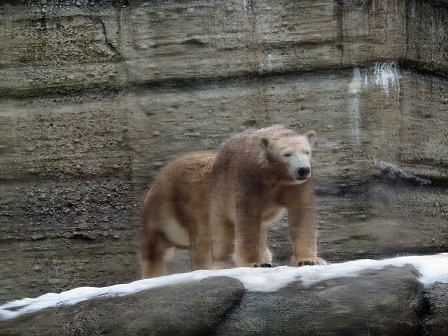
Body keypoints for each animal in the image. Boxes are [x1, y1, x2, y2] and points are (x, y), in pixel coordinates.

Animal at [138, 126, 324, 278]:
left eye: (306, 152)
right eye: (287, 154)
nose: (303, 170)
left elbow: (301, 214)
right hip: (190, 200)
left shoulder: (298, 186)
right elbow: (248, 220)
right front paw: (254, 263)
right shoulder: (249, 181)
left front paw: (309, 260)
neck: (274, 176)